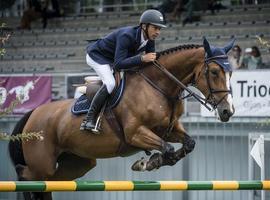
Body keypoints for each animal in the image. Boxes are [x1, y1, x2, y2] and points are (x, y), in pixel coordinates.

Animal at [8, 37, 235, 198]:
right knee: (27, 175)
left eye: (230, 73)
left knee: (49, 182)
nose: (228, 111)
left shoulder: (167, 129)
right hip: (42, 162)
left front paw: (150, 162)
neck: (159, 86)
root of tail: (33, 113)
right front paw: (149, 162)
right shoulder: (135, 133)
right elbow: (168, 148)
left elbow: (188, 143)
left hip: (77, 163)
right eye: (214, 72)